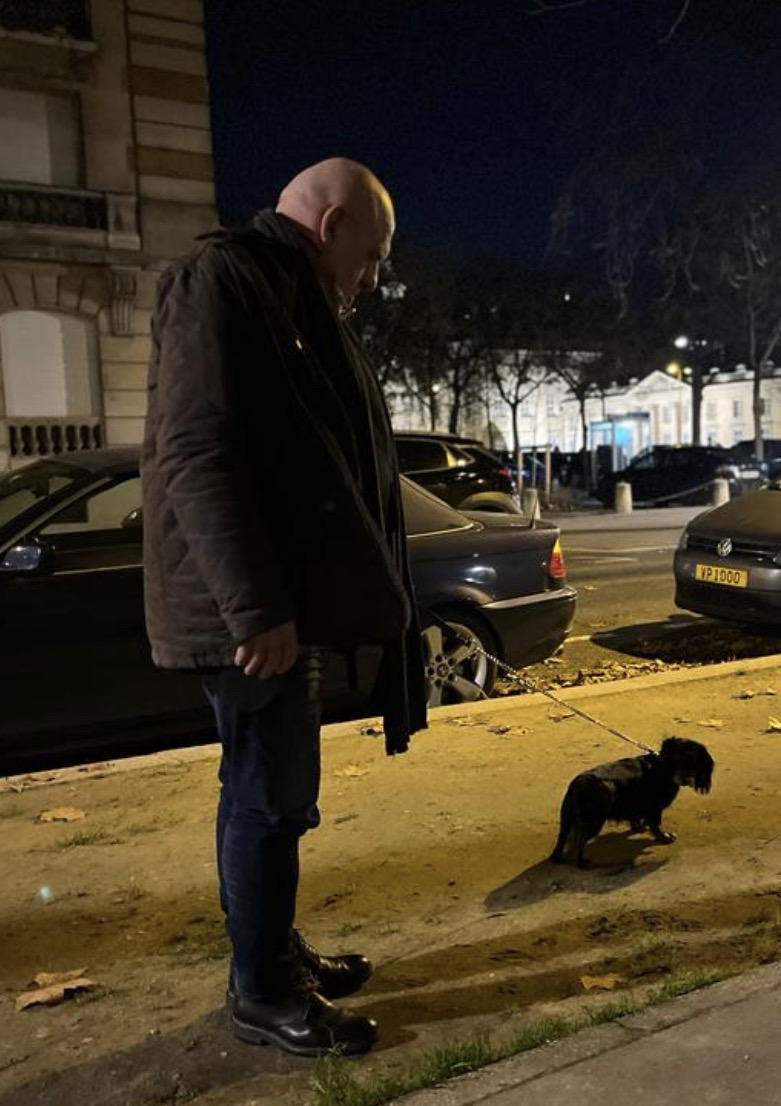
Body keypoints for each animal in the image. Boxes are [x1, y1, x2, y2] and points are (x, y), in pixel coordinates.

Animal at [548, 738, 712, 867]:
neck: (662, 766)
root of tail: (579, 783)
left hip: (567, 818)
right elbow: (656, 825)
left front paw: (639, 828)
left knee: (562, 839)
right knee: (580, 841)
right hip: (593, 821)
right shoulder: (655, 808)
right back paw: (582, 863)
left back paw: (558, 858)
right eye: (677, 759)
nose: (683, 778)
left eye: (693, 761)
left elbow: (637, 819)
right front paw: (664, 838)